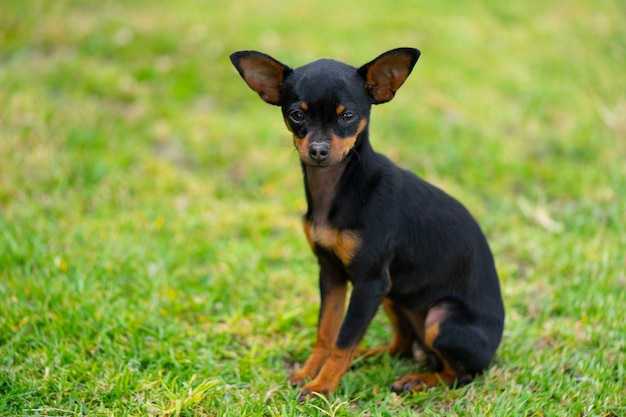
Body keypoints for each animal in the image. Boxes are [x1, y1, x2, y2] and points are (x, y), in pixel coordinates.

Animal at [229, 48, 502, 400]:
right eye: (296, 115)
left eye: (347, 116)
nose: (318, 150)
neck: (338, 187)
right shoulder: (331, 274)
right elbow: (327, 331)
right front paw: (309, 372)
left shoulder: (370, 281)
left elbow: (343, 339)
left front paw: (322, 386)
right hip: (393, 296)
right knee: (403, 346)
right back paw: (369, 357)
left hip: (439, 319)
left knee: (461, 373)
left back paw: (416, 380)